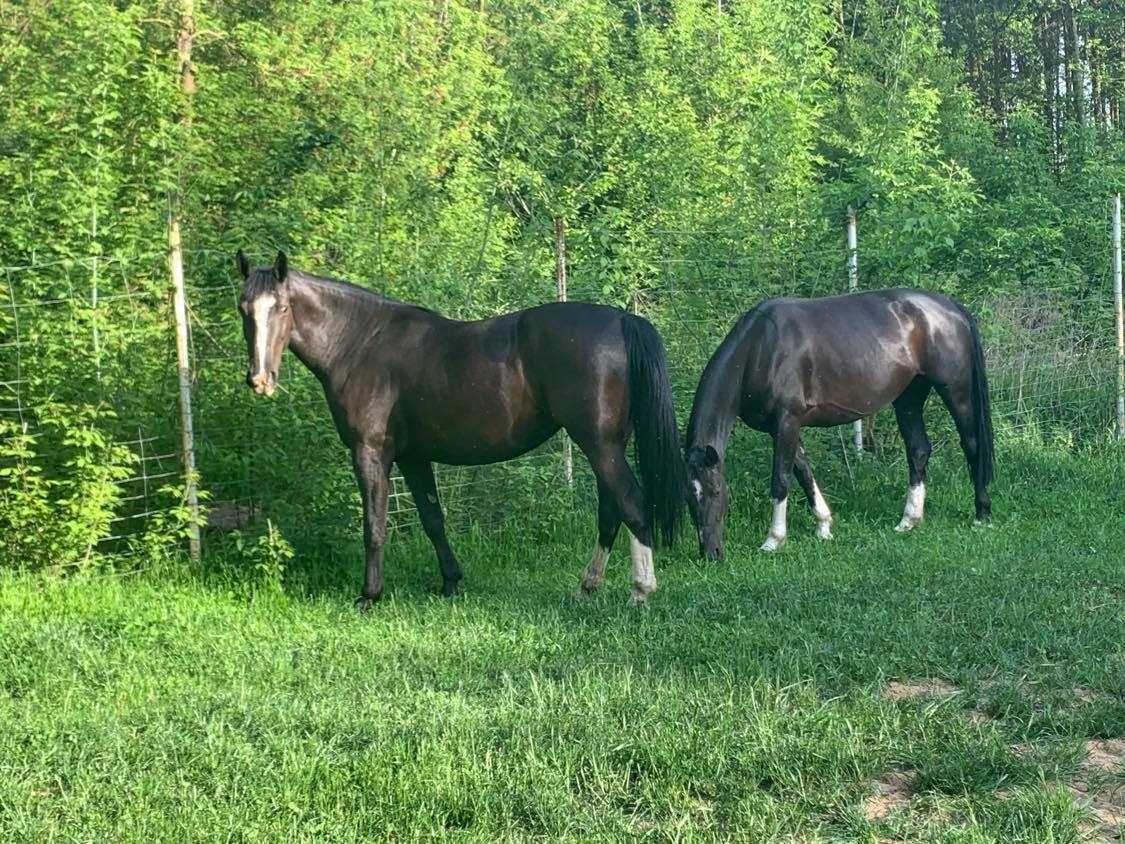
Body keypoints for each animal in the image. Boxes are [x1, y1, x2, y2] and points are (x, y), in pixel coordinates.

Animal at [235, 250, 684, 607]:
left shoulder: (370, 452)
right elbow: (433, 518)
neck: (361, 343)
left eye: (281, 308)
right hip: (607, 444)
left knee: (632, 503)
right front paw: (450, 582)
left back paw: (641, 591)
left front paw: (369, 595)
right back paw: (588, 585)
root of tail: (622, 319)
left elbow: (375, 526)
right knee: (611, 510)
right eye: (243, 308)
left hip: (599, 444)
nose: (259, 380)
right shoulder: (414, 457)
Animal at [684, 290, 994, 562]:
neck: (761, 348)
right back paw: (908, 520)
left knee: (972, 445)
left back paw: (982, 514)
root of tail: (949, 305)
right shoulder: (783, 427)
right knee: (918, 450)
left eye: (715, 491)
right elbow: (803, 472)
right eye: (689, 497)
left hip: (957, 391)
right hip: (909, 395)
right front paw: (824, 526)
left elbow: (781, 479)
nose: (711, 553)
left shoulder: (787, 421)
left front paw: (773, 540)